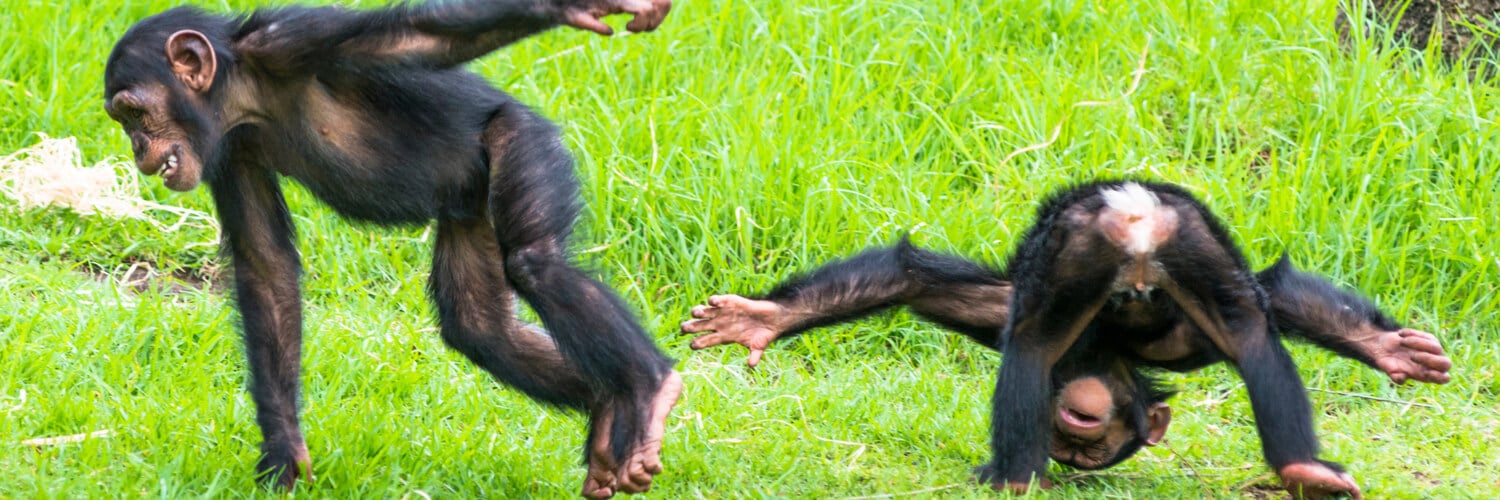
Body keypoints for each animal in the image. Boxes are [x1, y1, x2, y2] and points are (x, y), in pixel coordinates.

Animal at [108, 1, 684, 495]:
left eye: (134, 114)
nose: (137, 149)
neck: (245, 91)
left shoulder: (293, 42)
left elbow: (420, 37)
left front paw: (569, 8)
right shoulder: (230, 153)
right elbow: (265, 267)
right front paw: (283, 453)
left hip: (521, 140)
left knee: (535, 262)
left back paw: (650, 387)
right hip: (470, 210)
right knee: (480, 327)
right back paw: (609, 412)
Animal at [684, 180, 1452, 495]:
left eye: (1087, 448)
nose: (1067, 446)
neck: (1111, 355)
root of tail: (1133, 212)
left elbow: (915, 280)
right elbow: (914, 280)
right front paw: (760, 318)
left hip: (1138, 245)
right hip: (1115, 242)